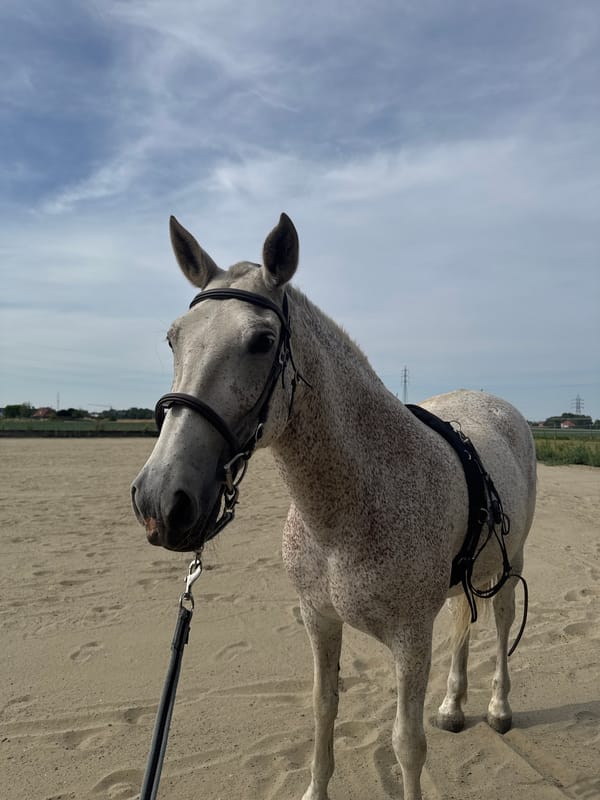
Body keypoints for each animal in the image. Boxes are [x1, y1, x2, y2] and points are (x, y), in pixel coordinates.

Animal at [131, 213, 537, 800]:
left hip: (512, 563)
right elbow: (324, 710)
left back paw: (499, 708)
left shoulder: (411, 640)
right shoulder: (319, 619)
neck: (347, 515)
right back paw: (453, 705)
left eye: (262, 340)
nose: (161, 499)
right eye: (173, 339)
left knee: (502, 622)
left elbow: (407, 744)